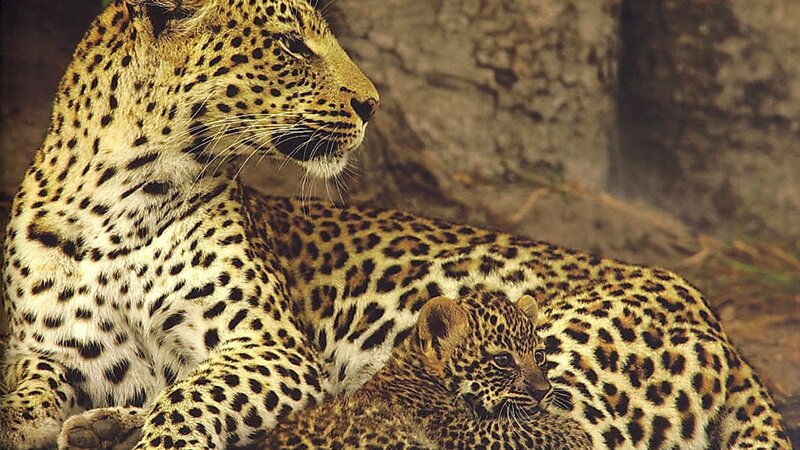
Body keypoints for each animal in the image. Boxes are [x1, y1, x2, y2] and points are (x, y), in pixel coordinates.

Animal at [262, 291, 592, 450]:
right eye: (503, 360)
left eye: (539, 355)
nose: (543, 392)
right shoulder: (462, 433)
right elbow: (524, 428)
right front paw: (577, 433)